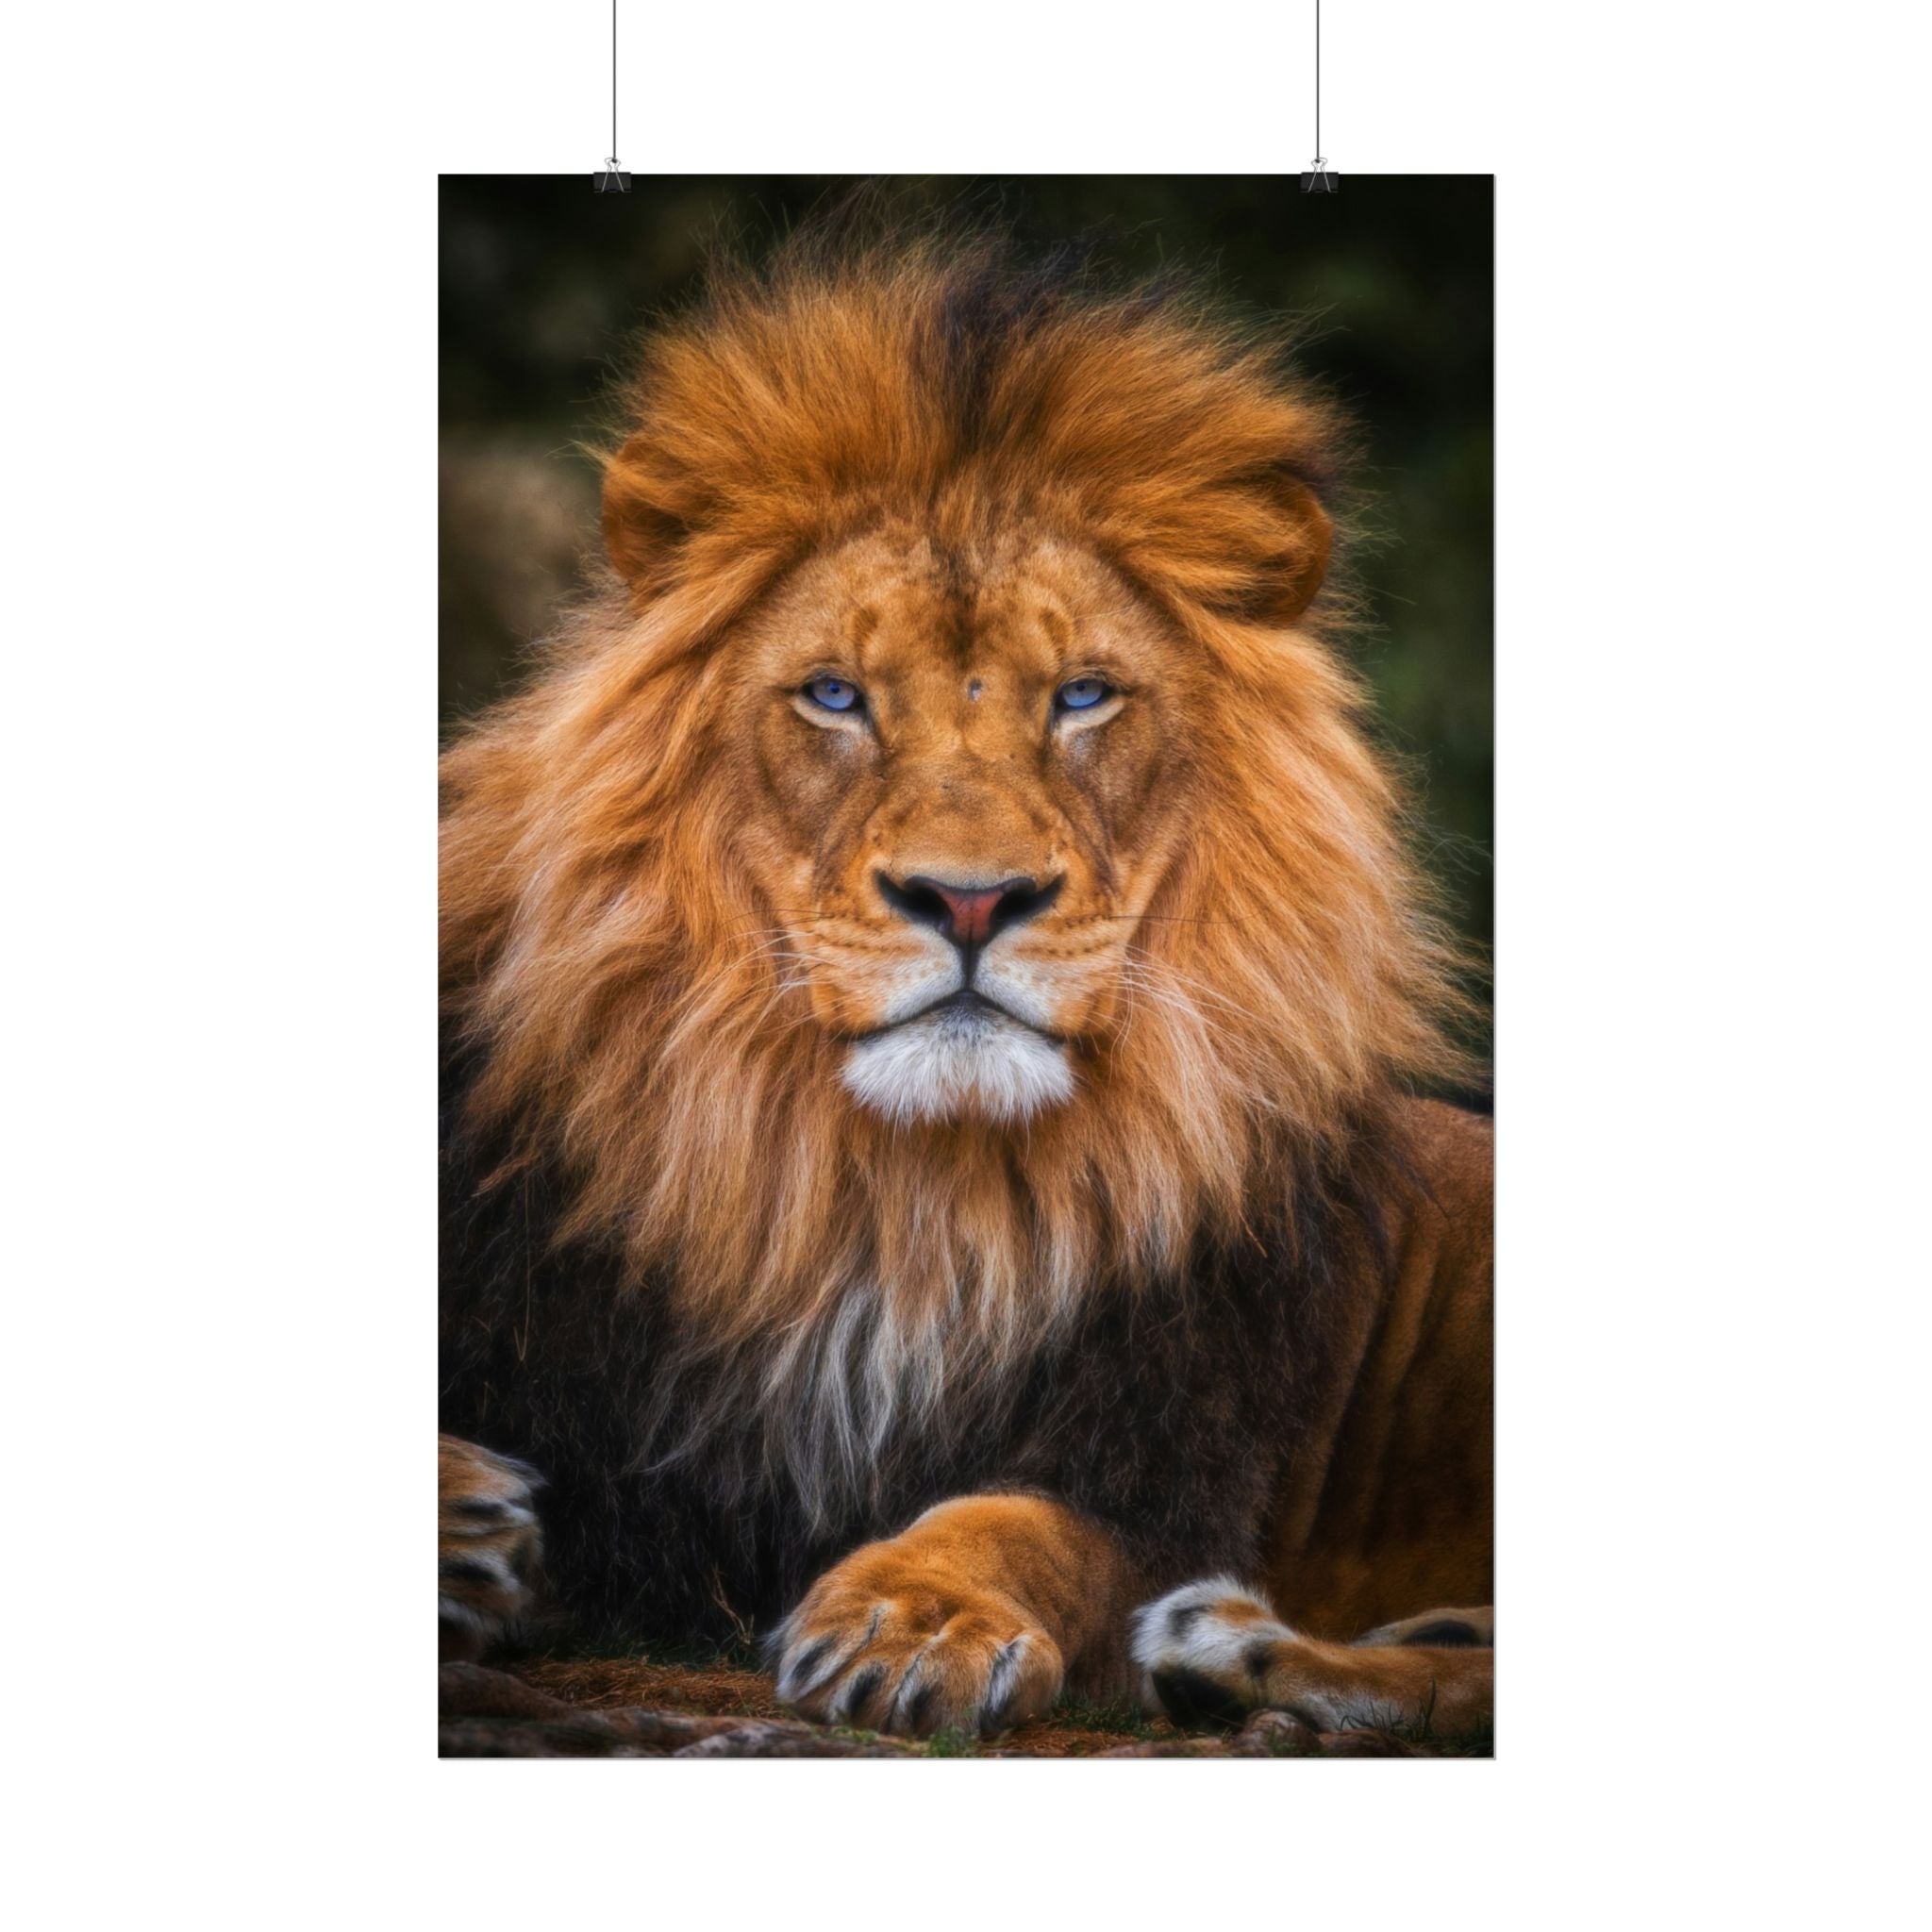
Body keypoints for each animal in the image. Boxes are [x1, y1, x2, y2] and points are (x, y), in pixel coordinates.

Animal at [438, 225, 1493, 1747]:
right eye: (833, 695)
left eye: (1083, 696)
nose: (972, 899)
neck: (893, 1197)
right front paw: (463, 1519)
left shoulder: (1165, 1462)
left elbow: (1022, 1524)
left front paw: (913, 1616)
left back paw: (1239, 1649)